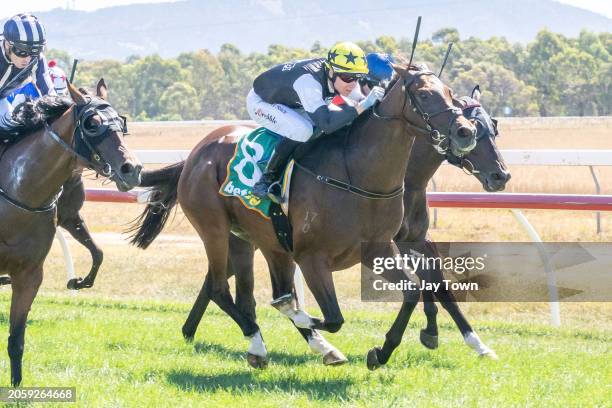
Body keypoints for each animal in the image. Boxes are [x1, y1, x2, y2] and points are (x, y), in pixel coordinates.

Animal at [0, 81, 142, 388]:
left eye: (120, 122)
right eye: (93, 123)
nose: (132, 169)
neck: (18, 194)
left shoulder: (29, 275)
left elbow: (16, 340)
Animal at [131, 64, 480, 366]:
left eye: (450, 93)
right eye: (424, 94)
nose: (465, 132)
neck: (358, 175)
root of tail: (195, 153)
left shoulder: (378, 248)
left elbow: (412, 291)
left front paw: (380, 353)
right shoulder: (312, 258)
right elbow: (333, 317)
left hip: (257, 242)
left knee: (248, 297)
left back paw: (293, 347)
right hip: (215, 231)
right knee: (220, 289)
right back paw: (265, 343)